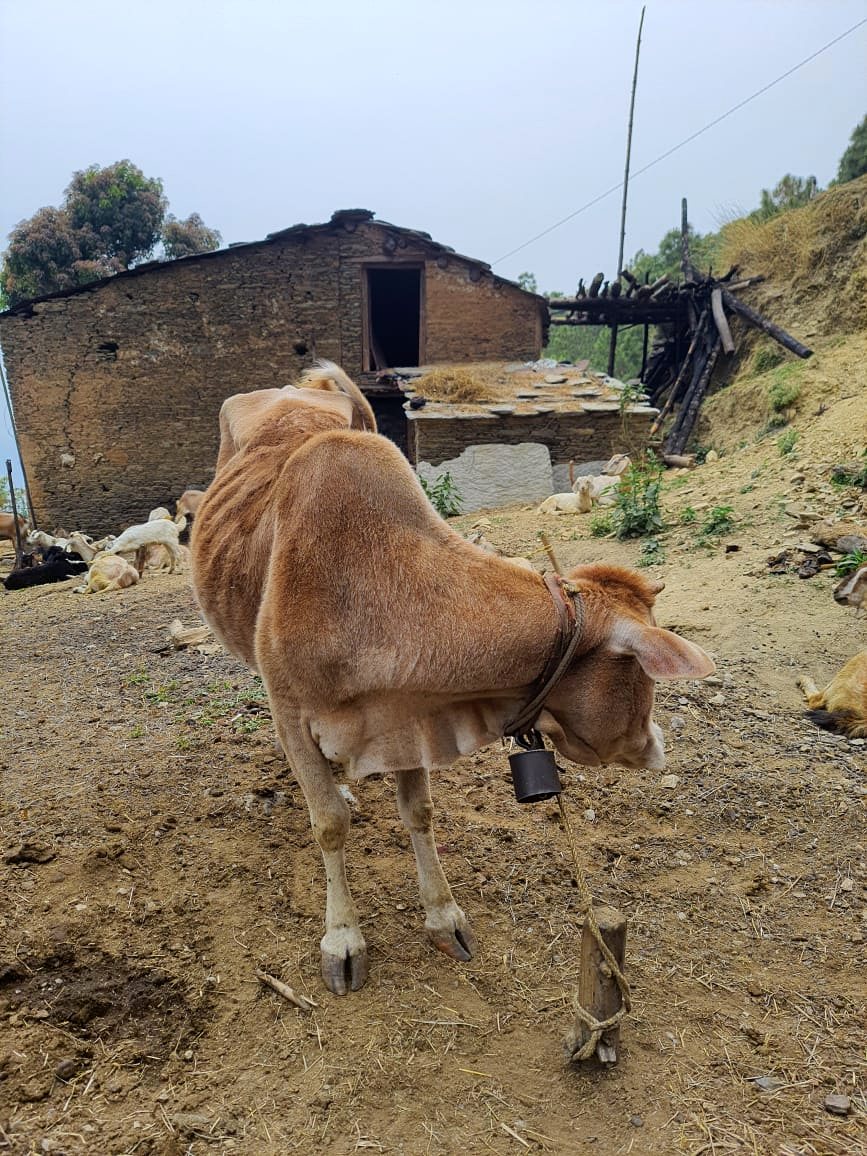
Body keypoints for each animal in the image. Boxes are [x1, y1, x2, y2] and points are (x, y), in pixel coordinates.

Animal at [191, 362, 714, 995]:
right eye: (643, 676)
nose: (656, 744)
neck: (373, 588)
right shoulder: (293, 709)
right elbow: (329, 823)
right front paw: (343, 939)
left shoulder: (408, 714)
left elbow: (418, 811)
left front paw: (443, 916)